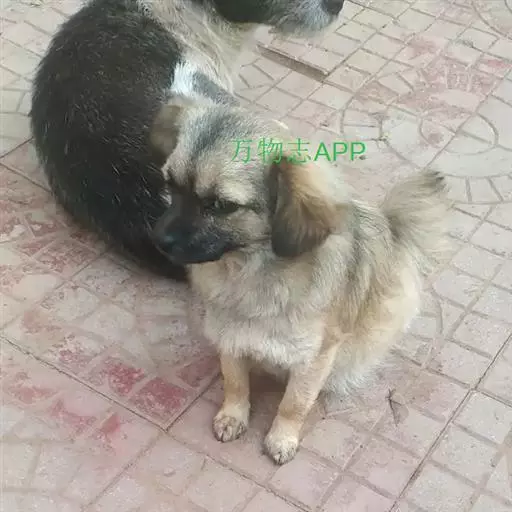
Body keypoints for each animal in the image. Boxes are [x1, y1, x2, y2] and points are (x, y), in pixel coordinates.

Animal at [147, 98, 451, 464]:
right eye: (170, 185)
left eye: (220, 205)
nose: (158, 239)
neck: (251, 270)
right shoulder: (230, 335)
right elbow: (235, 382)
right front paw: (233, 415)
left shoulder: (313, 359)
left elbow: (294, 403)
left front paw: (282, 437)